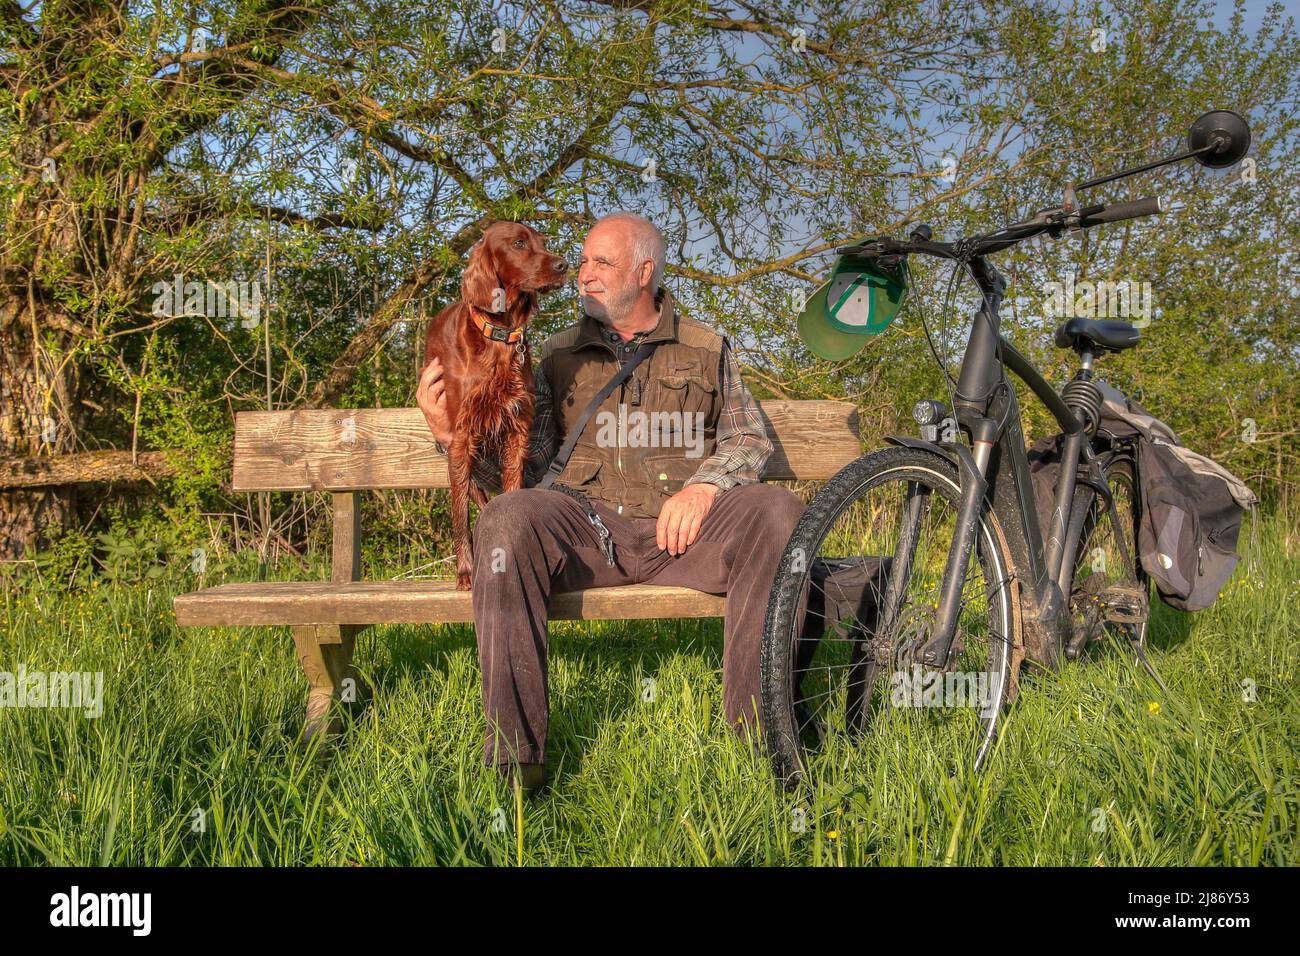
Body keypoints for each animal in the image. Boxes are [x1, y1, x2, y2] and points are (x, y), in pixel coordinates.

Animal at [426, 223, 569, 590]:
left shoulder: (518, 427)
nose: (563, 265)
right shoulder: (461, 435)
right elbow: (460, 512)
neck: (500, 337)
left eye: (542, 242)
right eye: (518, 243)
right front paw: (465, 572)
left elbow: (512, 489)